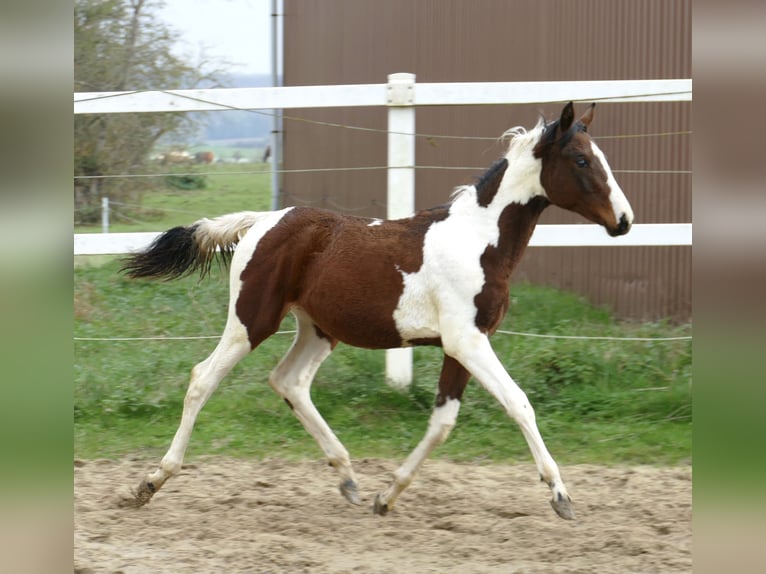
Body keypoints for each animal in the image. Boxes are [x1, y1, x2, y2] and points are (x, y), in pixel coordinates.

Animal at [121, 102, 636, 520]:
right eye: (581, 159)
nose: (625, 221)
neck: (478, 241)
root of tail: (261, 222)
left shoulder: (460, 345)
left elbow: (442, 423)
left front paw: (386, 497)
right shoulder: (468, 341)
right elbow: (519, 403)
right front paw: (561, 496)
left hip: (317, 329)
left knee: (289, 381)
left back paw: (349, 478)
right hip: (252, 320)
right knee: (203, 378)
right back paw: (150, 482)